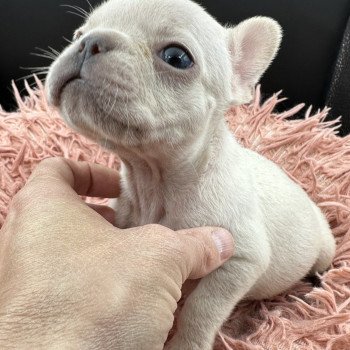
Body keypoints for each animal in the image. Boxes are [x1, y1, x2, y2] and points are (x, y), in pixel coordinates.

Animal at [45, 0, 334, 348]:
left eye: (177, 57)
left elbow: (200, 309)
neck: (154, 179)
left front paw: (186, 343)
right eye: (78, 34)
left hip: (325, 246)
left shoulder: (239, 260)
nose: (89, 42)